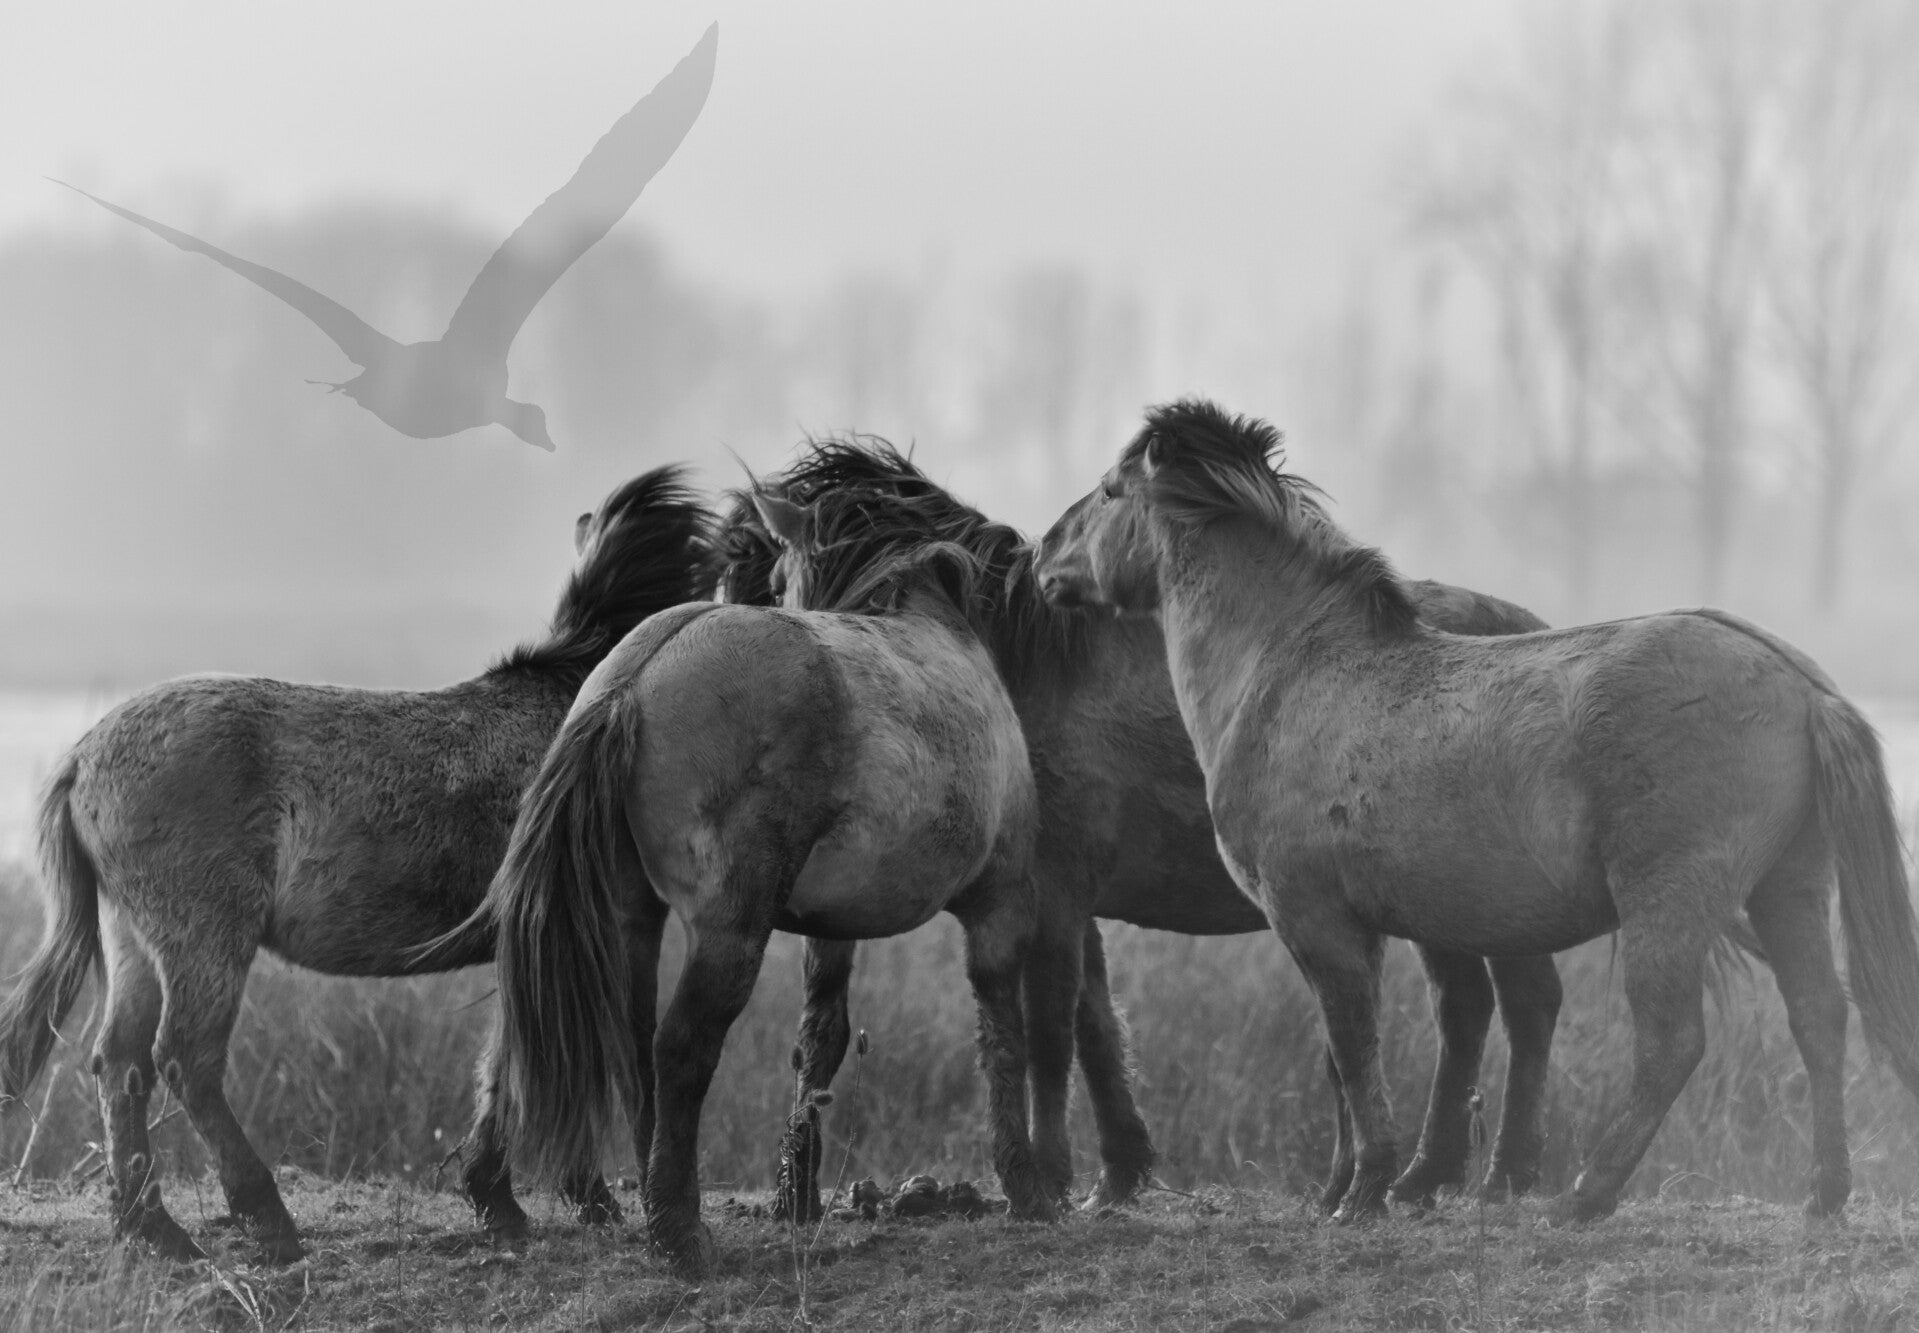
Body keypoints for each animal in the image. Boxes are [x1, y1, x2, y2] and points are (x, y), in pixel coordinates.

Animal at [0, 467, 716, 1263]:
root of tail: (83, 755)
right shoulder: (592, 931)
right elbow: (572, 1057)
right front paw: (557, 1197)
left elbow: (511, 1062)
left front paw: (507, 1197)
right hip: (204, 941)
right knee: (185, 1060)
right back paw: (264, 1216)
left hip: (134, 942)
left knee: (121, 1064)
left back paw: (152, 1227)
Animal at [432, 479, 1068, 1277]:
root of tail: (630, 685)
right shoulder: (1000, 902)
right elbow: (1001, 1033)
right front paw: (1026, 1186)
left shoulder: (831, 926)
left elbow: (820, 1037)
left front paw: (798, 1194)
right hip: (728, 930)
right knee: (679, 1049)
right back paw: (678, 1234)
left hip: (628, 919)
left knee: (610, 1040)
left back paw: (584, 1194)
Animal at [717, 438, 1564, 1219]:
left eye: (773, 588)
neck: (1017, 666)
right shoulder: (1068, 902)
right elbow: (1092, 1025)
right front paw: (1115, 1172)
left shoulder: (1051, 895)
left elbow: (1049, 1029)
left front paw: (1049, 1177)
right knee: (1480, 1006)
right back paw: (1432, 1175)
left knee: (1501, 1007)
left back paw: (1475, 1174)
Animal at [1035, 397, 1919, 1223]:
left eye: (1110, 490)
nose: (1043, 556)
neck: (1283, 671)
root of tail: (1800, 684)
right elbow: (1356, 1049)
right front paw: (1367, 1185)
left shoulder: (1315, 919)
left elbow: (1351, 1048)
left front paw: (1364, 1189)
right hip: (1785, 890)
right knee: (1818, 1016)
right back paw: (1823, 1193)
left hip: (1668, 902)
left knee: (1671, 1043)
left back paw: (1583, 1195)